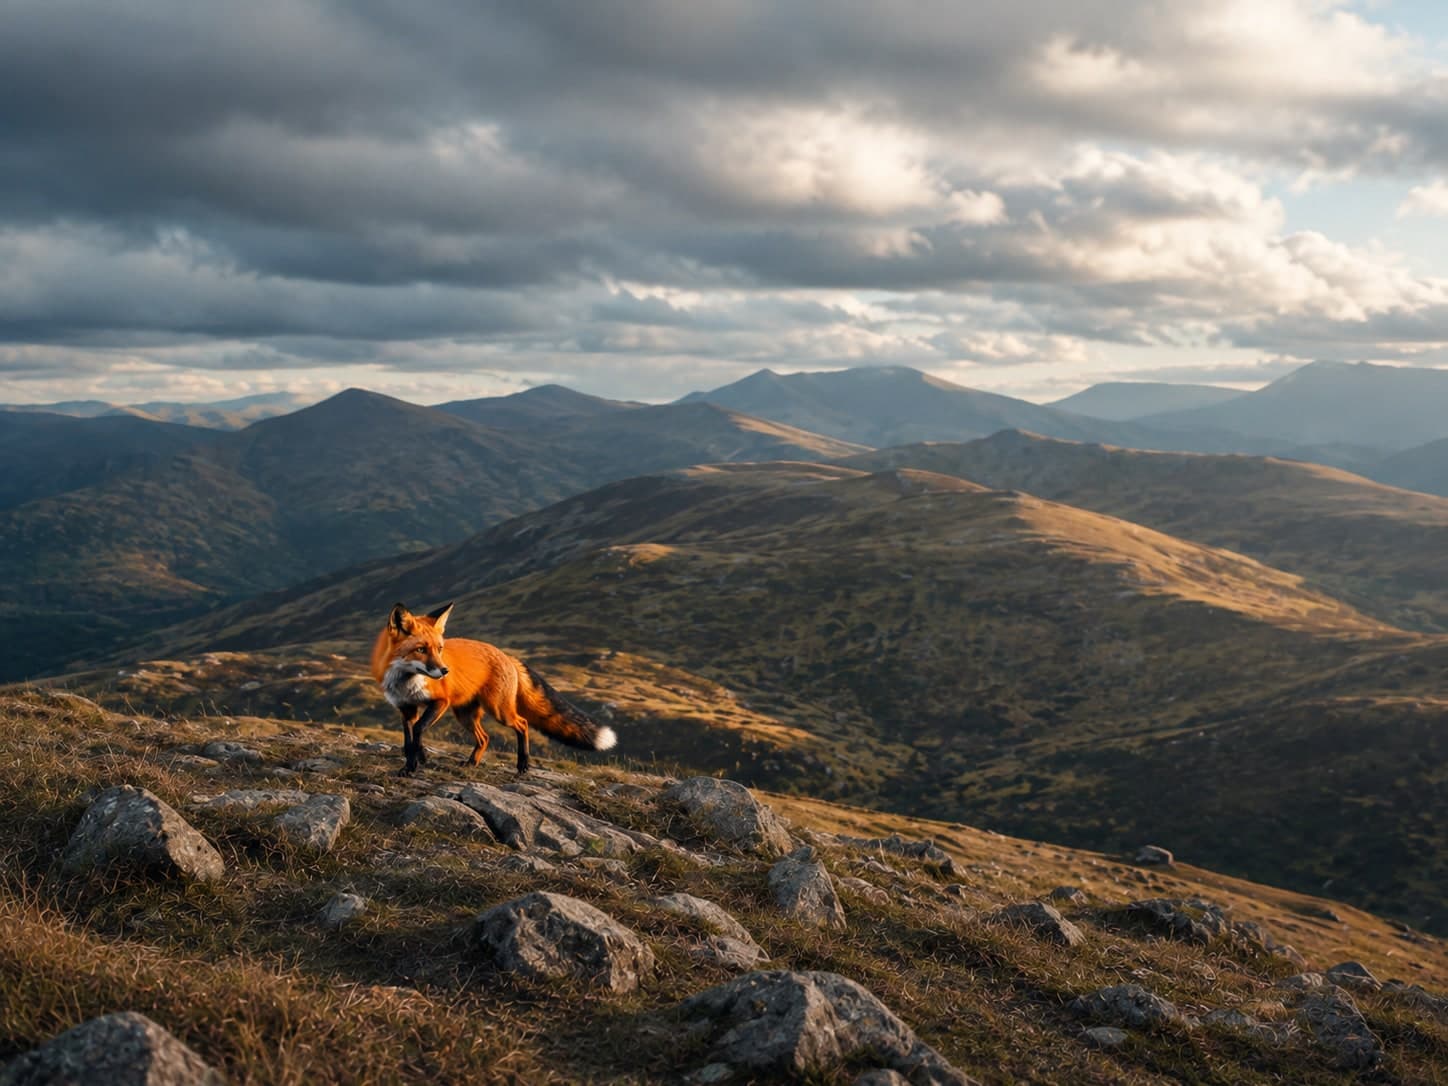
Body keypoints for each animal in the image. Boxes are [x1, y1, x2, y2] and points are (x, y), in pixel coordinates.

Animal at [370, 601, 616, 776]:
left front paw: (416, 762)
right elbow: (409, 739)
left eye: (439, 649)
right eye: (421, 649)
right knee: (485, 737)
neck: (406, 681)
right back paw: (472, 763)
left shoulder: (440, 701)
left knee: (522, 723)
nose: (444, 671)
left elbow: (419, 729)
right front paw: (413, 763)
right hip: (465, 715)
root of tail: (507, 655)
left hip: (499, 711)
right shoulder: (406, 708)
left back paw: (523, 764)